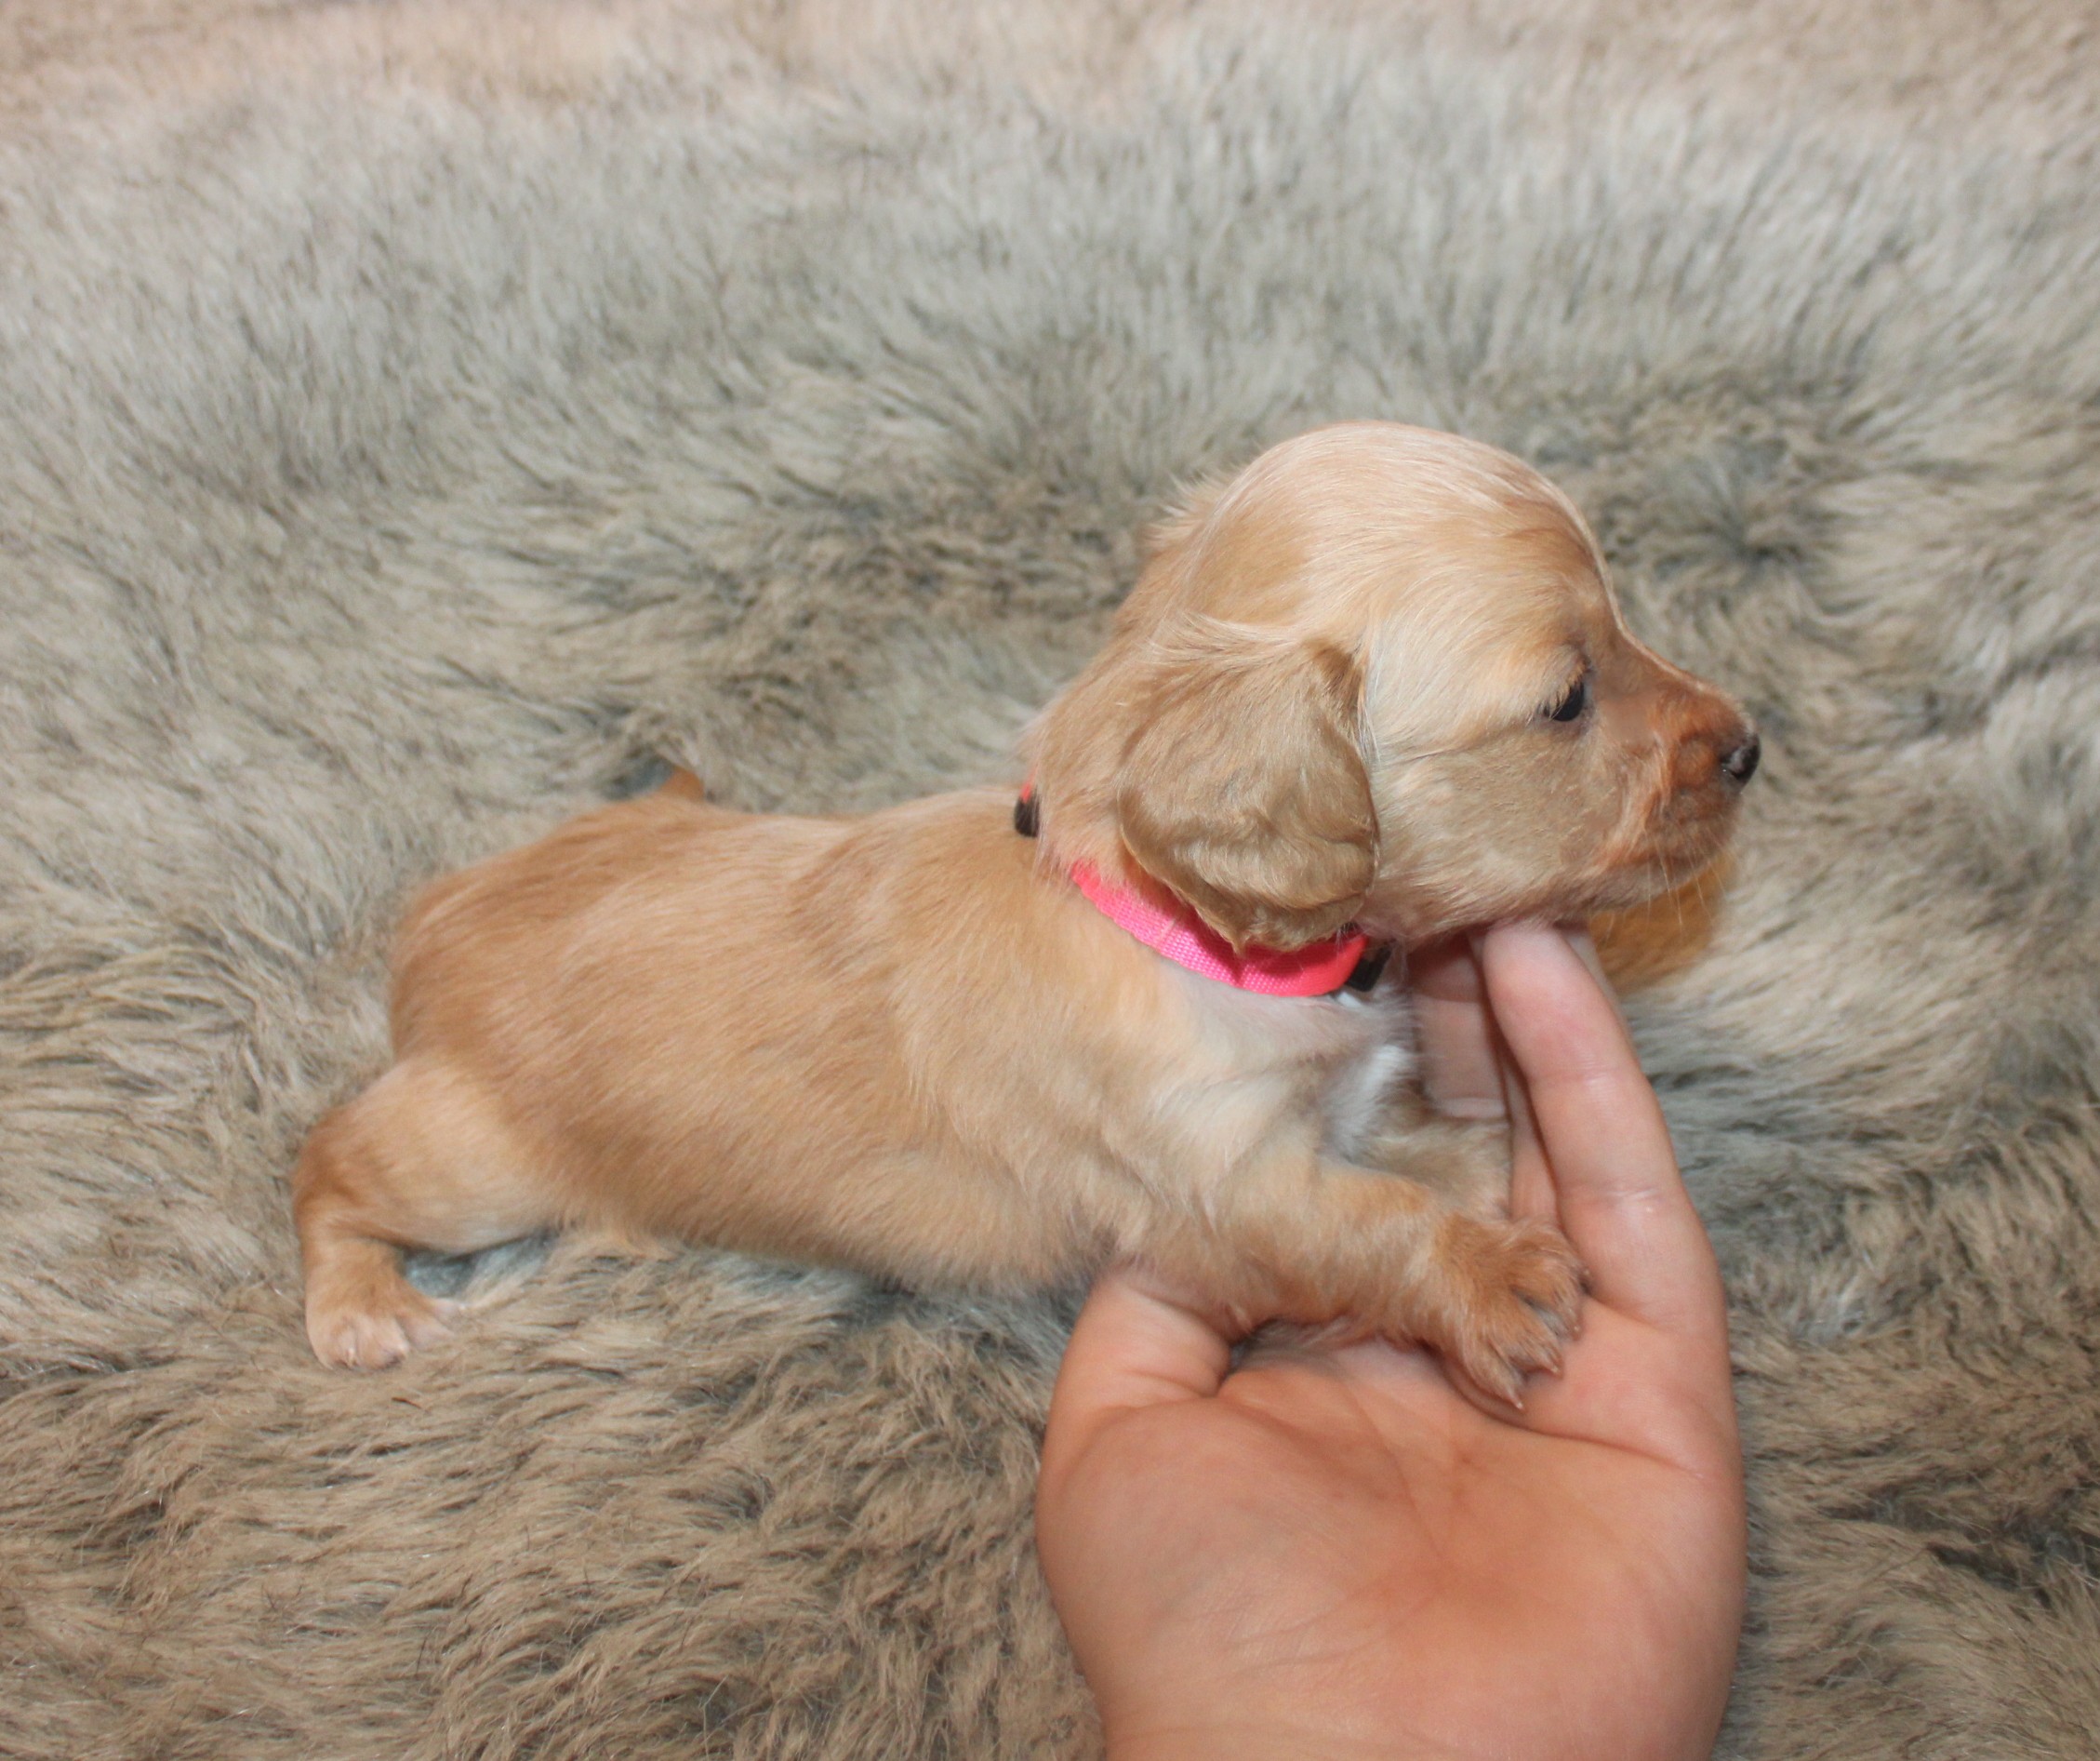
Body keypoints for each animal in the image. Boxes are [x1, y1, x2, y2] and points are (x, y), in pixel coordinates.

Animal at [293, 422, 1757, 1398]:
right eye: (1567, 697)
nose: (1749, 746)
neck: (1166, 927)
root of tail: (437, 915)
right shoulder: (1219, 1187)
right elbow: (1363, 1225)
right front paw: (1488, 1273)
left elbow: (1385, 1143)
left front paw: (1469, 1150)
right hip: (469, 1161)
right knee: (330, 1164)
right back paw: (362, 1303)